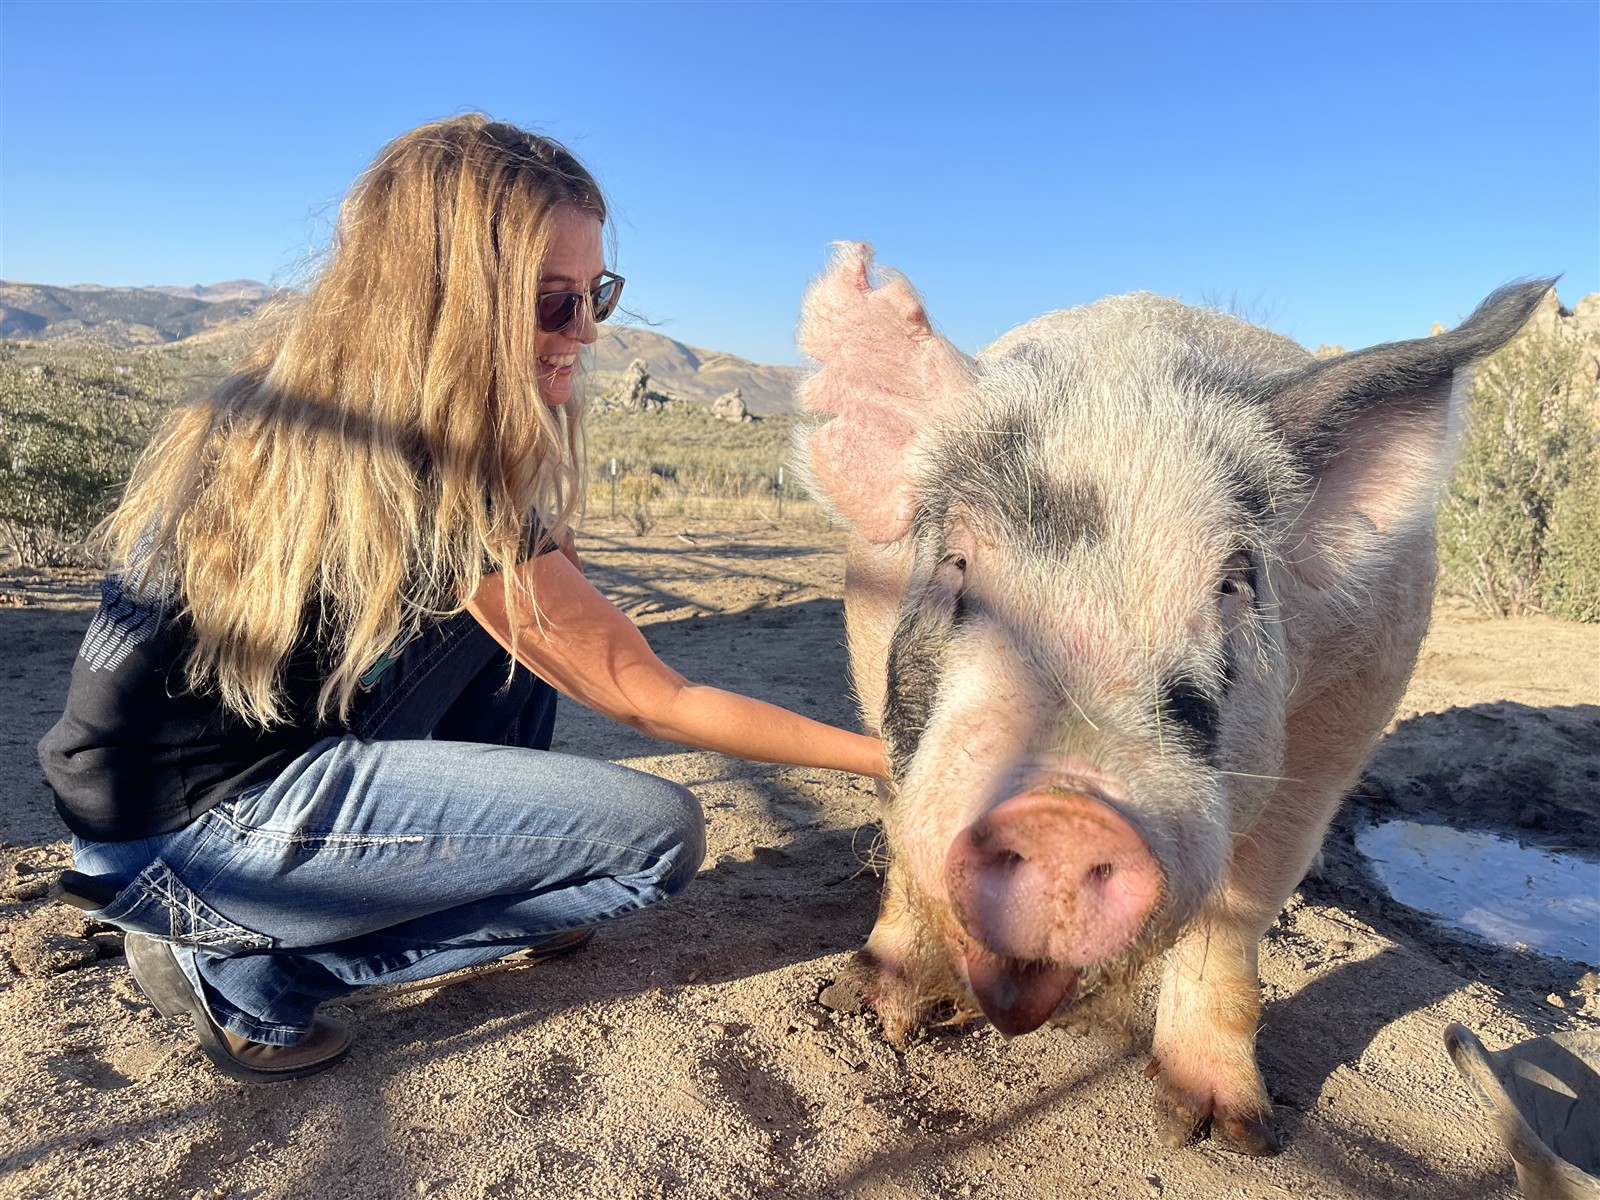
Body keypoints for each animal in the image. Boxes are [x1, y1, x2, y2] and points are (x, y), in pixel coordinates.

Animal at [792, 244, 1550, 1154]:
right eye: (957, 565)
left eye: (1232, 586)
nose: (1066, 816)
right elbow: (903, 837)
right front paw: (868, 1008)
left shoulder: (1342, 723)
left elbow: (1239, 910)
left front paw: (1228, 1131)